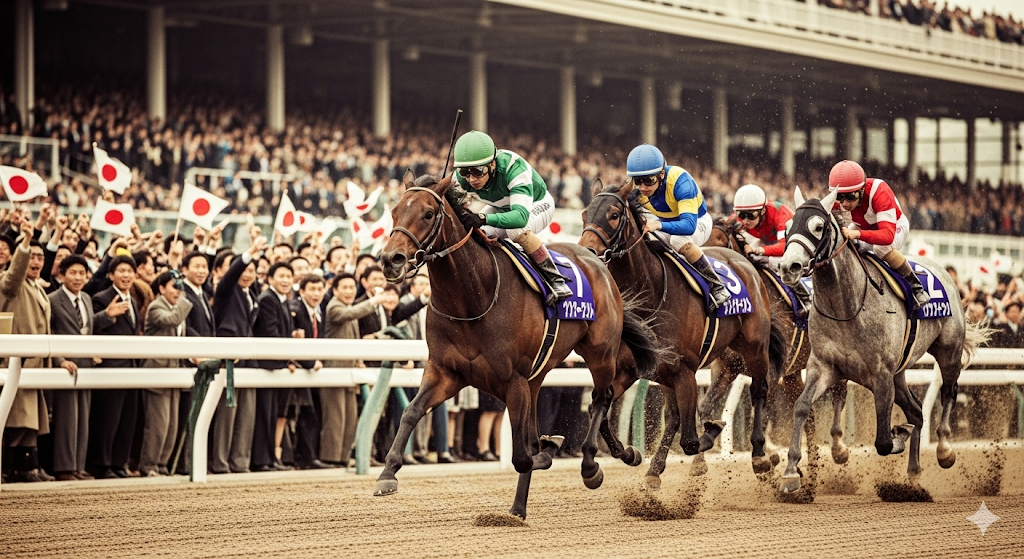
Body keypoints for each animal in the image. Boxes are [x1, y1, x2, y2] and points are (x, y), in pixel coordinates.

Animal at [375, 171, 668, 520]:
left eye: (428, 214)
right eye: (394, 212)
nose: (391, 260)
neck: (472, 298)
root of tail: (597, 261)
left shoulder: (513, 380)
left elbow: (523, 455)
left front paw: (549, 450)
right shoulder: (445, 372)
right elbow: (412, 411)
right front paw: (387, 473)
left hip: (600, 353)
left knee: (602, 397)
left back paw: (590, 465)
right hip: (540, 374)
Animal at [579, 179, 788, 488]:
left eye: (614, 215)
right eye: (584, 215)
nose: (587, 254)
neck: (652, 291)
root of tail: (745, 263)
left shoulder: (685, 372)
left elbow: (690, 439)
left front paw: (712, 431)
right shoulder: (634, 368)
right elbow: (602, 411)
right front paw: (630, 454)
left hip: (755, 348)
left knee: (760, 390)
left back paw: (761, 455)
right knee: (675, 417)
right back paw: (654, 470)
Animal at [706, 215, 851, 465]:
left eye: (720, 242)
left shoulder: (771, 370)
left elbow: (761, 412)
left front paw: (766, 455)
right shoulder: (726, 367)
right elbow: (706, 407)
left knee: (839, 395)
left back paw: (838, 448)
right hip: (793, 373)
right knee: (809, 415)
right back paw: (811, 462)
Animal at [776, 186, 990, 494]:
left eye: (817, 227)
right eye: (787, 228)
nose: (788, 267)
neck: (847, 306)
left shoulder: (880, 374)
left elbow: (884, 442)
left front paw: (897, 433)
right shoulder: (824, 367)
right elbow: (802, 406)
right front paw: (791, 472)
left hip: (948, 352)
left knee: (948, 391)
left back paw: (944, 449)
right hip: (899, 374)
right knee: (917, 412)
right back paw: (913, 473)